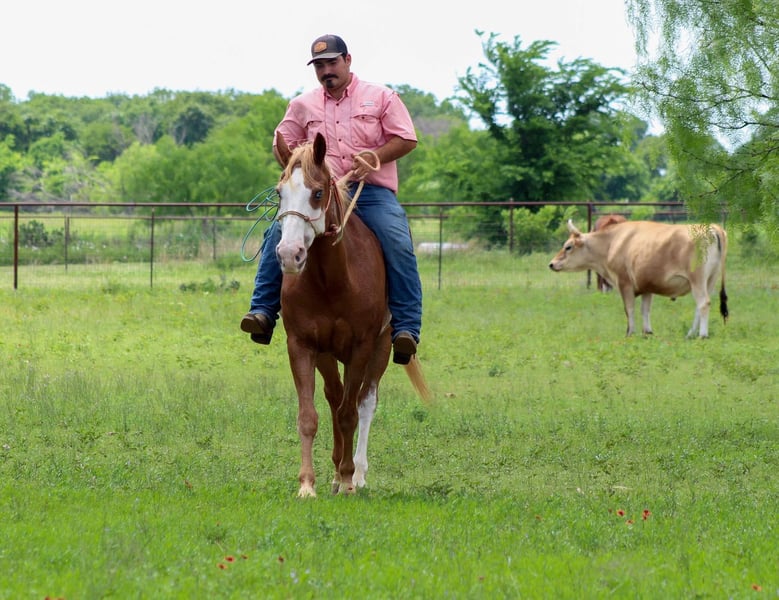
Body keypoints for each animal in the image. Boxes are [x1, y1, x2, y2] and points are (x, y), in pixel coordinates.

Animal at [273, 131, 430, 498]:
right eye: (279, 193)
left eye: (317, 193)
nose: (289, 255)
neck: (332, 281)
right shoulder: (302, 345)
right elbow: (309, 415)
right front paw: (308, 484)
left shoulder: (362, 346)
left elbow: (350, 413)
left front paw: (347, 480)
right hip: (329, 354)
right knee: (335, 397)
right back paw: (334, 473)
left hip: (382, 348)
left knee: (364, 402)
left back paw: (356, 473)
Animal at [548, 219, 728, 338]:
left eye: (568, 246)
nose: (551, 264)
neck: (612, 242)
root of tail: (711, 228)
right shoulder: (647, 286)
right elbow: (645, 309)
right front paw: (647, 331)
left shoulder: (624, 283)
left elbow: (629, 309)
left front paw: (630, 332)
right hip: (710, 280)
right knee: (700, 306)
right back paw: (691, 333)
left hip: (697, 280)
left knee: (703, 303)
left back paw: (702, 335)